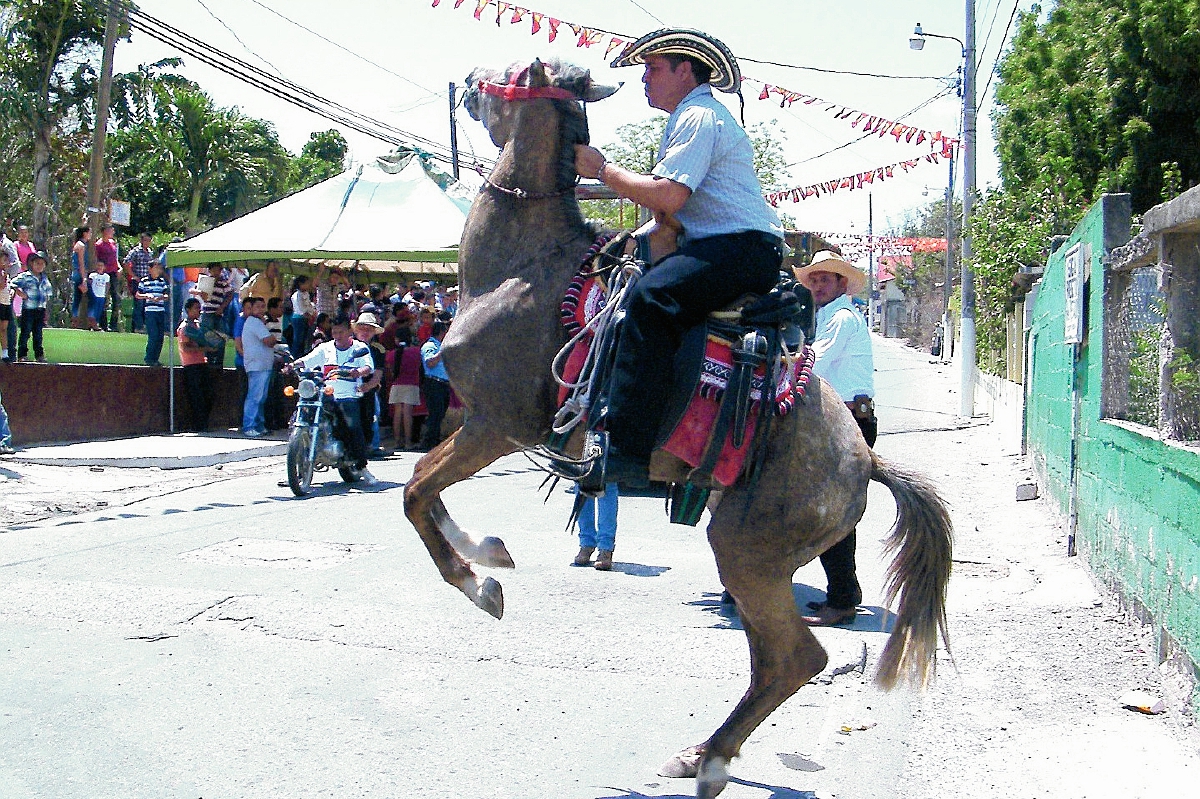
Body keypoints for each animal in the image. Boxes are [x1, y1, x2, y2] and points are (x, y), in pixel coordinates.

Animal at [405, 60, 955, 796]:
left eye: (517, 72)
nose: (467, 80)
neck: (524, 270)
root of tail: (865, 461)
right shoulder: (484, 428)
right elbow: (424, 486)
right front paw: (488, 550)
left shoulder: (499, 425)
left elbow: (415, 490)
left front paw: (480, 580)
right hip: (754, 561)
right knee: (771, 662)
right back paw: (700, 752)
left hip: (747, 553)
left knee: (796, 657)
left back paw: (712, 759)